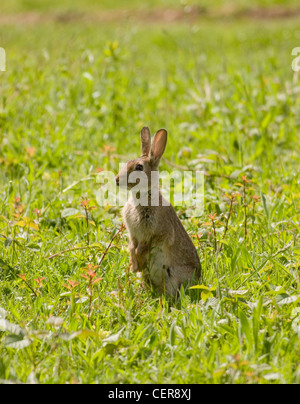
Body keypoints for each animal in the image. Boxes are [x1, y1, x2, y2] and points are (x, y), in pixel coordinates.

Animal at [115, 128, 202, 296]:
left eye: (139, 167)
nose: (116, 180)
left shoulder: (156, 233)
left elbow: (143, 247)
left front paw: (138, 263)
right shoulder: (133, 234)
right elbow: (132, 245)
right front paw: (134, 266)